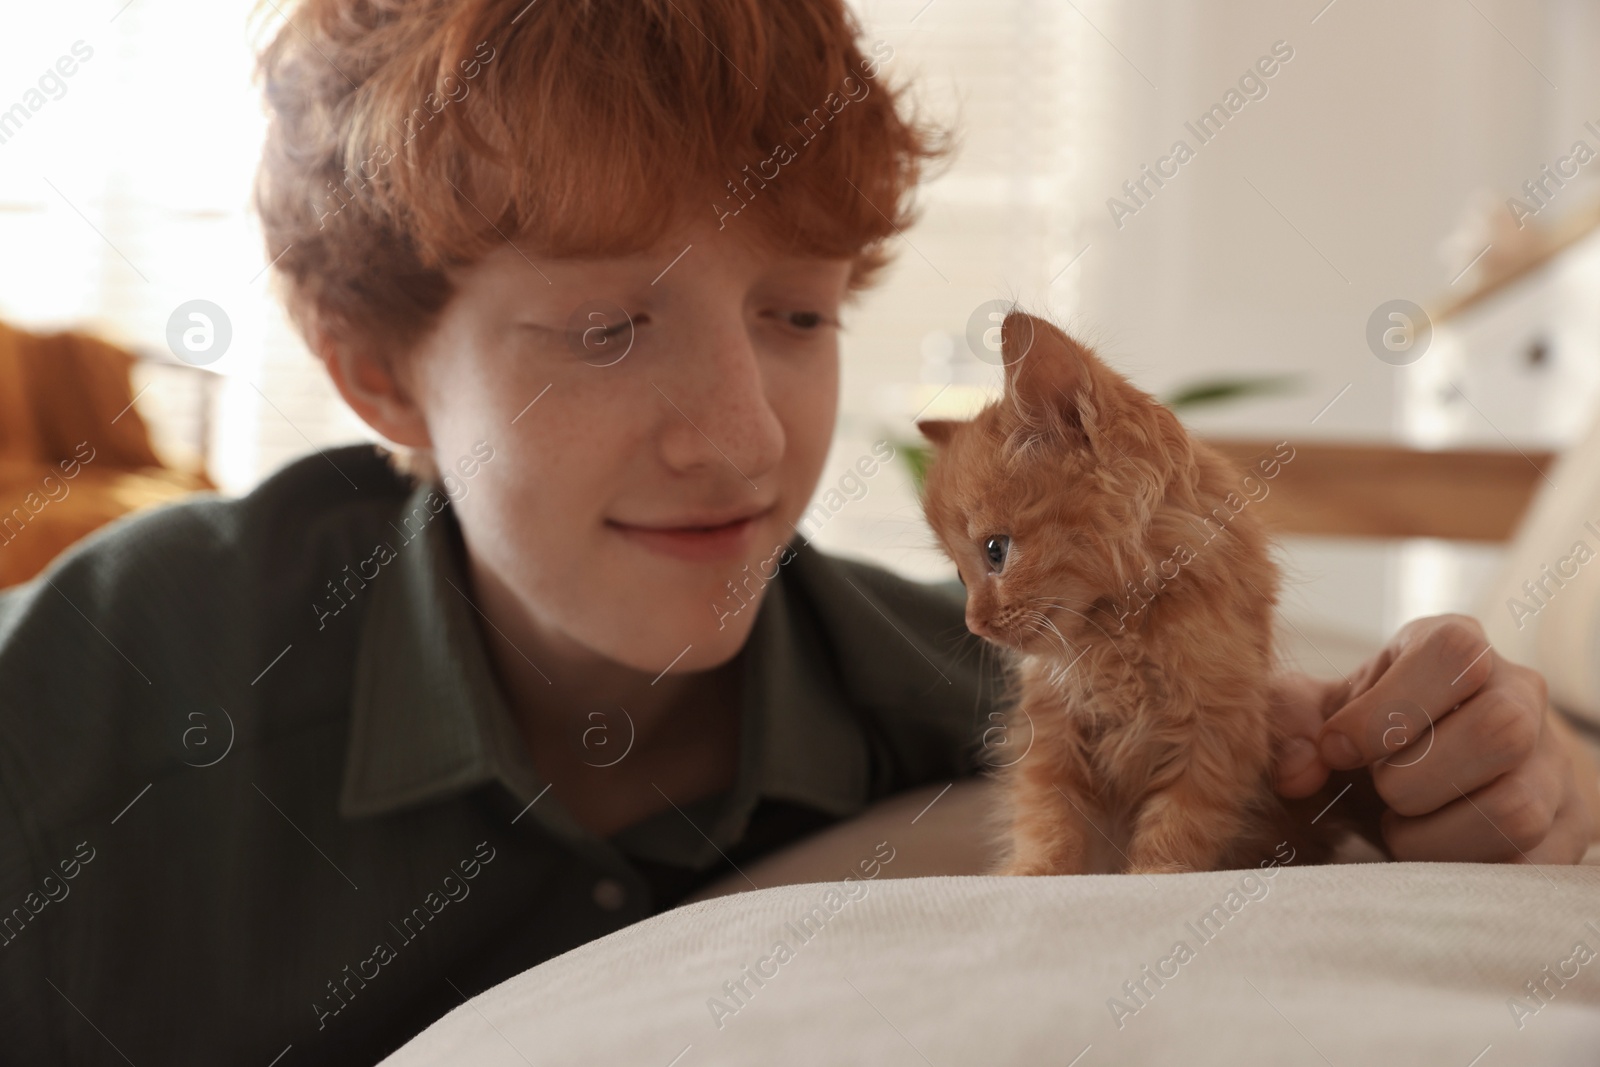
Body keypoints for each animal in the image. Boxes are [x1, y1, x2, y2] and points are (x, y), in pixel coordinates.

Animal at [915, 310, 1350, 876]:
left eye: (995, 552)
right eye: (960, 575)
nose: (975, 623)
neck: (1118, 637)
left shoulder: (1216, 733)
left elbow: (1176, 831)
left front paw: (1151, 877)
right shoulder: (1051, 734)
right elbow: (1046, 822)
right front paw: (1032, 874)